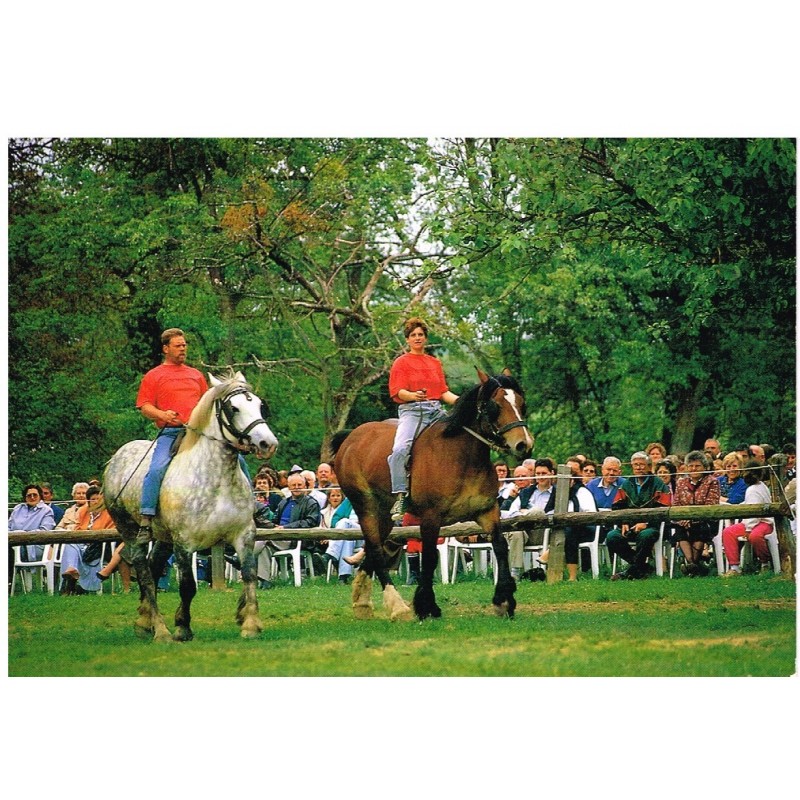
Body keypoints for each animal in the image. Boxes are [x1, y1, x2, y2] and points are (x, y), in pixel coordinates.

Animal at [328, 366, 536, 620]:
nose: (523, 444)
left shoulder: (487, 512)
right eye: (493, 406)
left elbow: (500, 548)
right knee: (376, 550)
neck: (462, 457)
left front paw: (504, 601)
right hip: (365, 507)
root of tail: (350, 438)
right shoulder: (430, 517)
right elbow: (428, 558)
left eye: (522, 403)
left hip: (384, 515)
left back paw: (362, 603)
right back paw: (397, 606)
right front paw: (427, 606)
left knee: (371, 549)